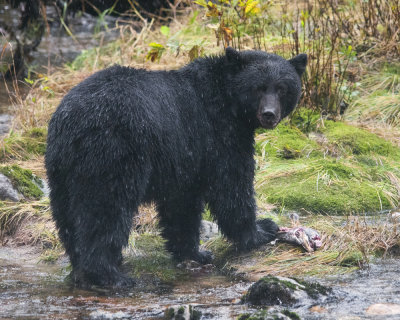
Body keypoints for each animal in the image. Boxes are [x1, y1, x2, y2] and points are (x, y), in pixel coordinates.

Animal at [47, 48, 308, 288]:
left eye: (282, 88)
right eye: (259, 87)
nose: (269, 114)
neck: (228, 102)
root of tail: (76, 122)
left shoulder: (184, 156)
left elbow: (182, 203)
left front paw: (195, 252)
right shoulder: (216, 134)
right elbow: (231, 185)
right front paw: (261, 230)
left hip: (61, 168)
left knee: (67, 216)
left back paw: (80, 266)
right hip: (114, 154)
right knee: (107, 210)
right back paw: (110, 275)